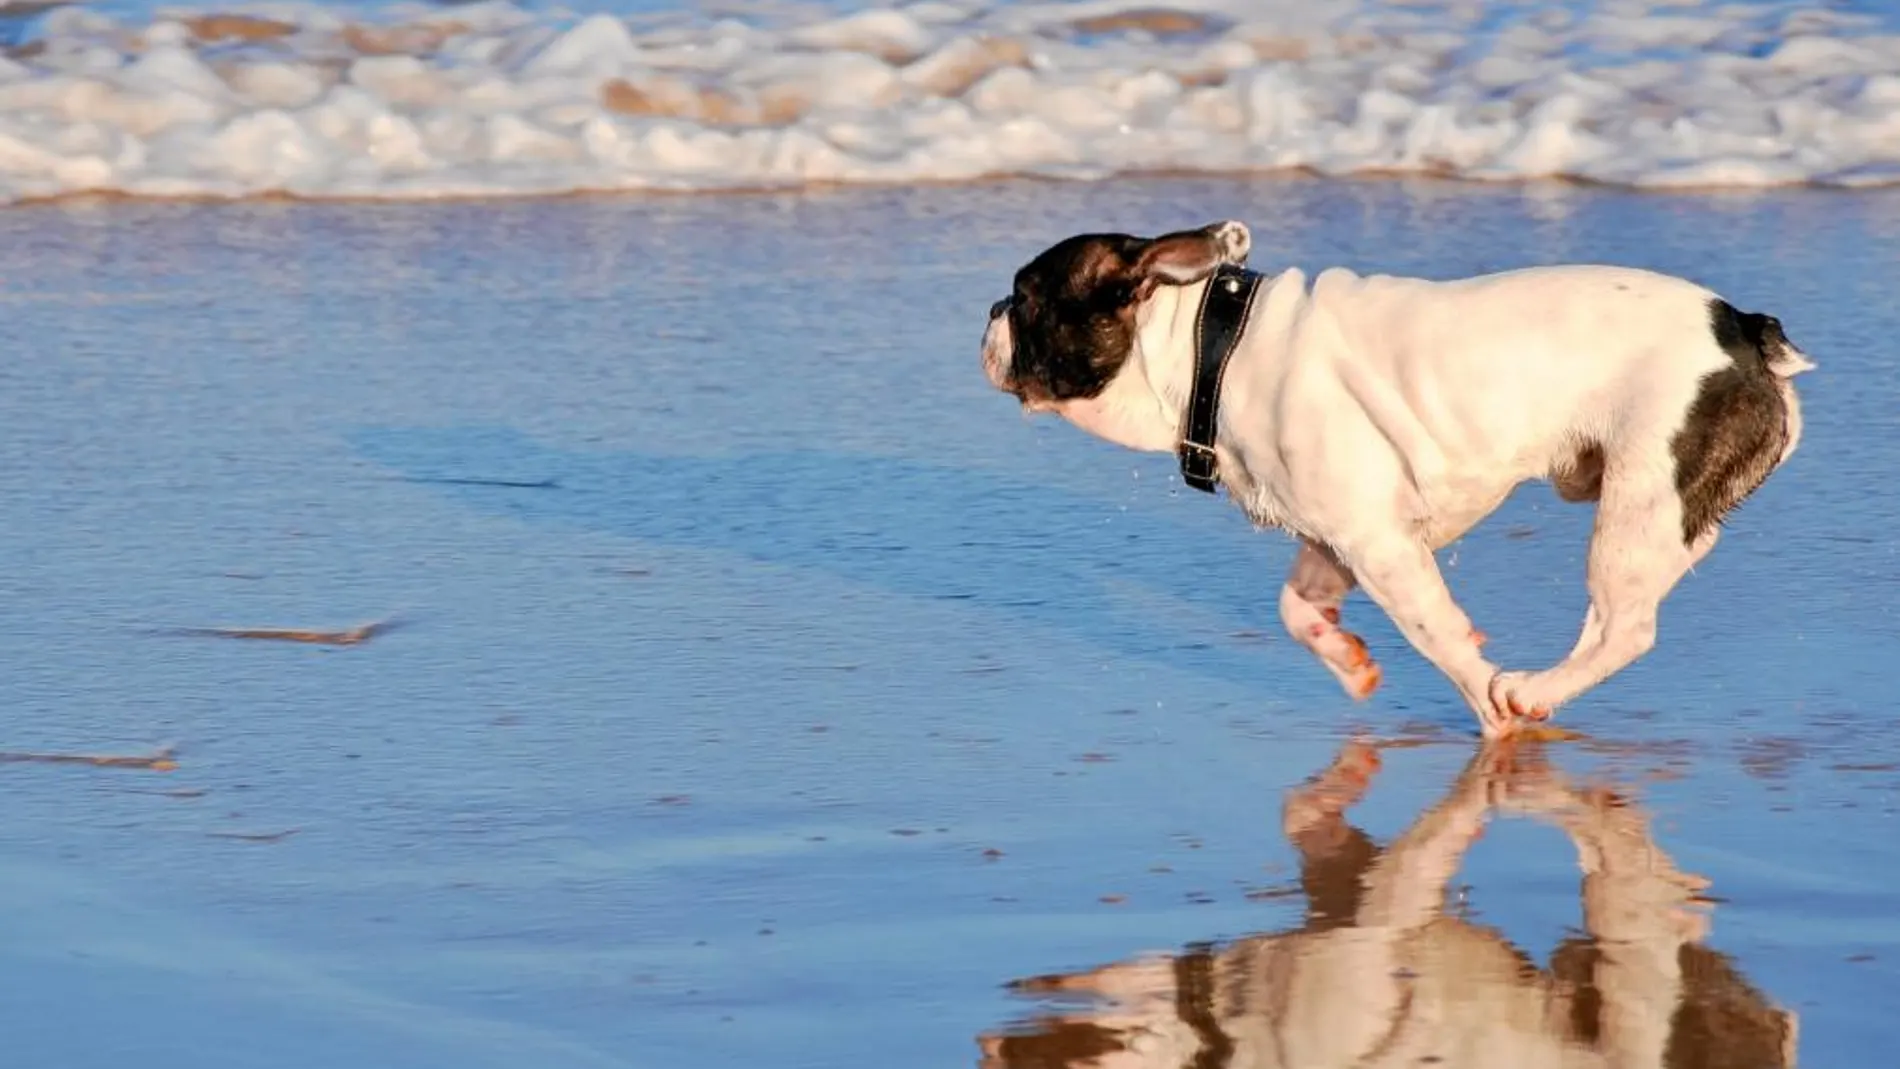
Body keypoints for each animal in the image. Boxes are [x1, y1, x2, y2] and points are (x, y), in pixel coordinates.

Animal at [980, 217, 1808, 736]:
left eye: (1024, 299)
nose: (988, 311)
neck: (1209, 345)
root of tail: (1743, 329)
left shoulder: (1378, 544)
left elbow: (1436, 633)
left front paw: (1489, 714)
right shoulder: (1338, 534)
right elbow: (1295, 605)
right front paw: (1347, 663)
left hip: (1637, 506)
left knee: (1623, 628)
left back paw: (1531, 692)